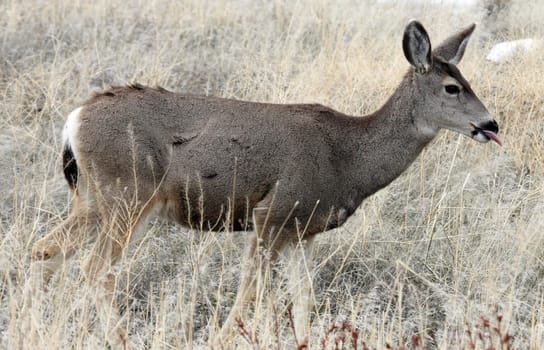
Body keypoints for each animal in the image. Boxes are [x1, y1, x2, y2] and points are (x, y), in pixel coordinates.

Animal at [31, 21, 502, 348]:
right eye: (452, 87)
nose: (491, 124)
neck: (347, 156)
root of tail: (74, 120)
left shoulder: (302, 232)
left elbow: (303, 298)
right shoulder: (271, 214)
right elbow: (250, 294)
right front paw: (220, 340)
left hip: (95, 200)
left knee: (45, 249)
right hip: (128, 194)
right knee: (96, 268)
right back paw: (119, 338)